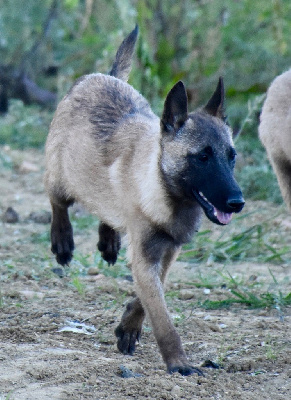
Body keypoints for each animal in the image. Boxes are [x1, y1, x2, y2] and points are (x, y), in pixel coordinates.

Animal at [45, 25, 246, 376]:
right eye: (202, 157)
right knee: (58, 203)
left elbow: (151, 295)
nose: (237, 202)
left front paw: (129, 325)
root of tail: (103, 76)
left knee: (107, 211)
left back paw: (108, 241)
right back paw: (63, 241)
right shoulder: (145, 255)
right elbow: (163, 318)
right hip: (61, 177)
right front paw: (179, 363)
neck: (164, 187)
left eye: (231, 156)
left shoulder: (165, 252)